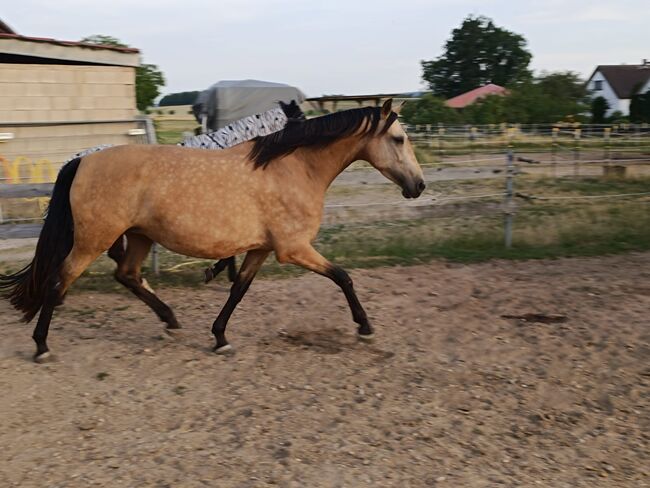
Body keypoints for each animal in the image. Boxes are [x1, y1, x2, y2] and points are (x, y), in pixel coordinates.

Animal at [1, 98, 426, 362]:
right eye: (399, 139)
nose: (418, 186)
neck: (291, 168)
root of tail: (81, 161)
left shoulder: (260, 248)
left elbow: (238, 289)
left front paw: (220, 337)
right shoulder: (293, 249)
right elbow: (343, 277)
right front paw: (365, 327)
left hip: (138, 236)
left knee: (127, 275)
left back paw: (171, 321)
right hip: (94, 239)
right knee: (60, 281)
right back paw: (41, 346)